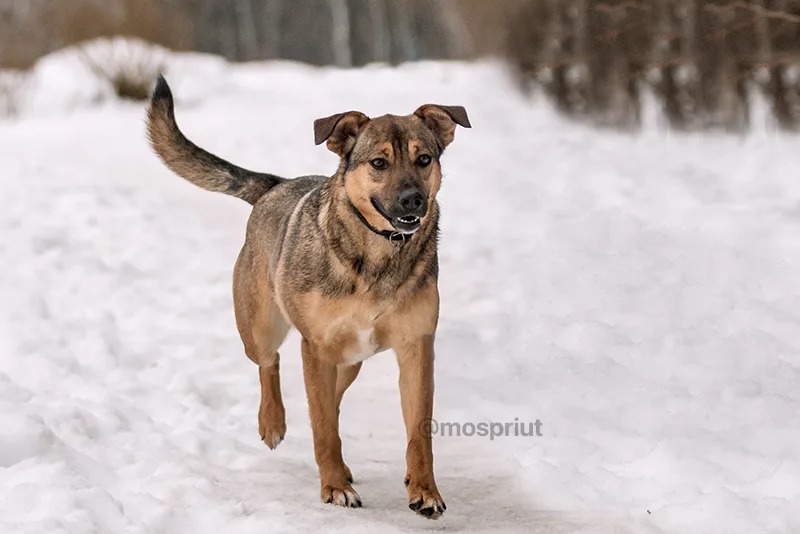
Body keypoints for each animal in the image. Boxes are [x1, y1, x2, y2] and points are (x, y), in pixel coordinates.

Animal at [146, 77, 468, 520]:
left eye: (424, 159)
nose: (412, 200)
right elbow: (323, 428)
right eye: (378, 163)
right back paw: (273, 423)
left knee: (332, 400)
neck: (379, 254)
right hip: (262, 328)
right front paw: (334, 488)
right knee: (271, 364)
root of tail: (276, 185)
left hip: (350, 360)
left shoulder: (416, 347)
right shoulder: (316, 346)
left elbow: (418, 430)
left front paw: (424, 490)